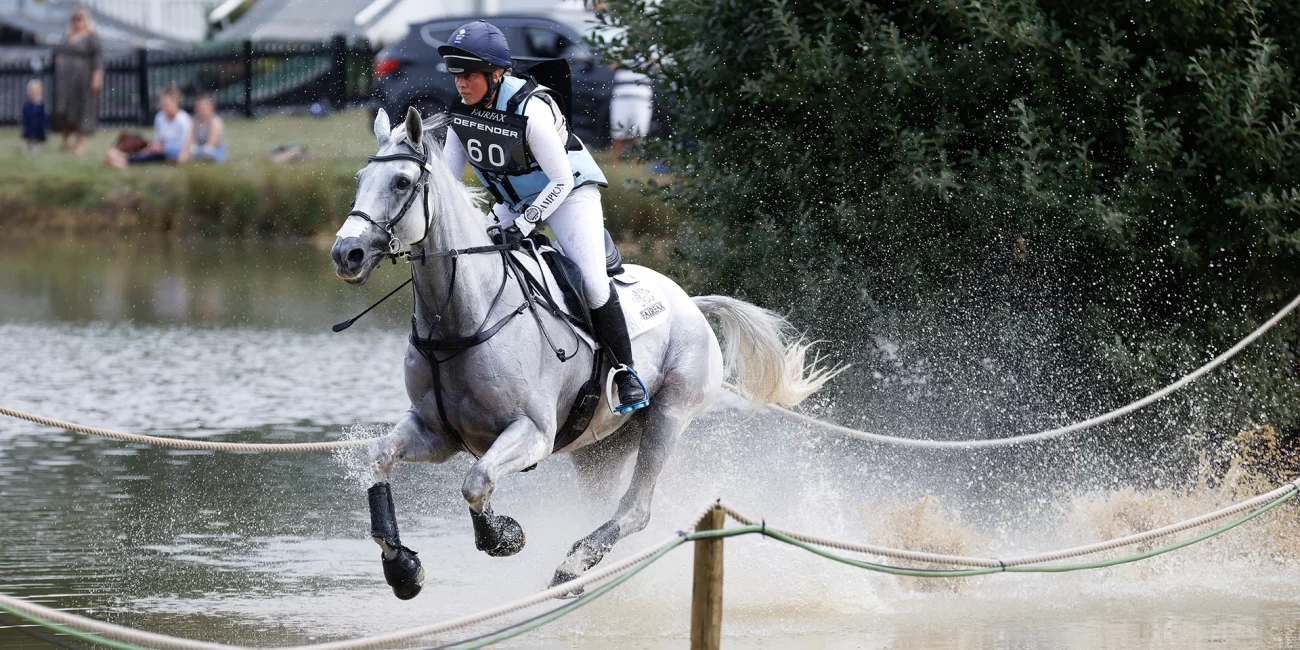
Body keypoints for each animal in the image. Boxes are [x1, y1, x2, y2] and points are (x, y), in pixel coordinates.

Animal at [330, 106, 837, 598]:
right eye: (360, 178)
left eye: (401, 182)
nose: (346, 254)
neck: (461, 317)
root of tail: (690, 302)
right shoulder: (436, 433)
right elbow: (379, 458)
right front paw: (402, 568)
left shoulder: (532, 433)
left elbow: (477, 482)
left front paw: (502, 536)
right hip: (600, 447)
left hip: (669, 413)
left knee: (636, 508)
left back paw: (571, 567)